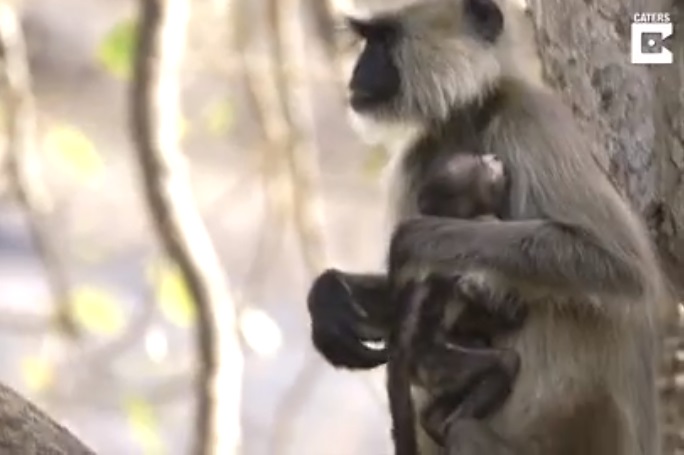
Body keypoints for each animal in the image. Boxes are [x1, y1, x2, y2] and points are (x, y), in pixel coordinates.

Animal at [307, 0, 669, 453]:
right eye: (368, 40)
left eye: (384, 40)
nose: (359, 71)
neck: (468, 115)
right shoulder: (417, 158)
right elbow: (403, 301)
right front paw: (330, 301)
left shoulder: (529, 115)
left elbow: (618, 265)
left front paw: (417, 240)